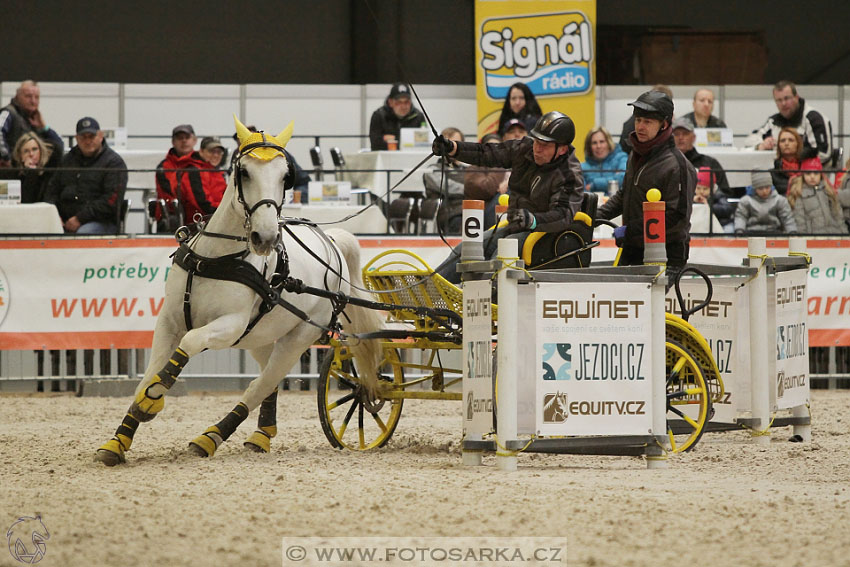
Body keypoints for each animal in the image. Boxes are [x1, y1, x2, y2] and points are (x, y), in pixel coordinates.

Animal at [95, 116, 380, 466]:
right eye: (243, 171)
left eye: (286, 176)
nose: (266, 237)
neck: (218, 259)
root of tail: (332, 242)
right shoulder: (168, 322)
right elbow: (147, 376)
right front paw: (118, 440)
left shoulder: (229, 325)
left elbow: (189, 343)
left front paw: (153, 400)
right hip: (261, 336)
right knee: (268, 381)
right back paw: (261, 435)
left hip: (298, 336)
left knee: (261, 384)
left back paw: (210, 437)